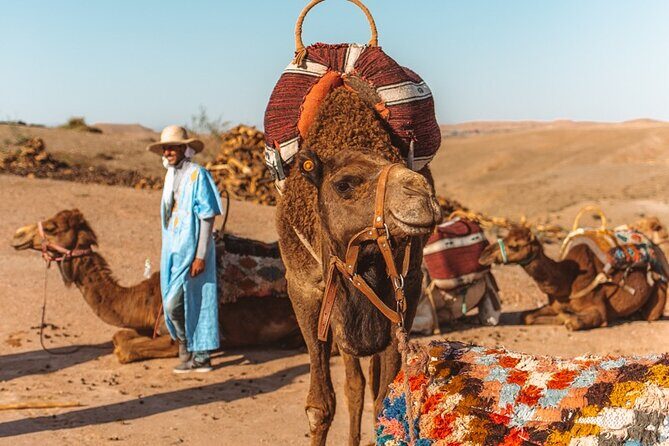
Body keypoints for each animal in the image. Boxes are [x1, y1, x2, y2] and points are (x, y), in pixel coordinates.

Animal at [11, 209, 302, 363]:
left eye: (51, 228)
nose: (17, 235)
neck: (147, 298)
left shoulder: (180, 336)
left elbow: (126, 348)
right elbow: (120, 335)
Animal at [274, 87, 441, 445]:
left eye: (401, 164)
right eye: (345, 184)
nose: (423, 196)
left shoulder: (407, 287)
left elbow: (384, 402)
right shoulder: (303, 289)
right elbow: (321, 406)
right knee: (354, 383)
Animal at [479, 225, 667, 330]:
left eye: (514, 246)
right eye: (504, 237)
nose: (484, 255)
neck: (567, 280)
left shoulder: (597, 308)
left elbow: (572, 322)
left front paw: (566, 318)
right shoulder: (555, 303)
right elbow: (526, 317)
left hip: (660, 289)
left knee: (651, 315)